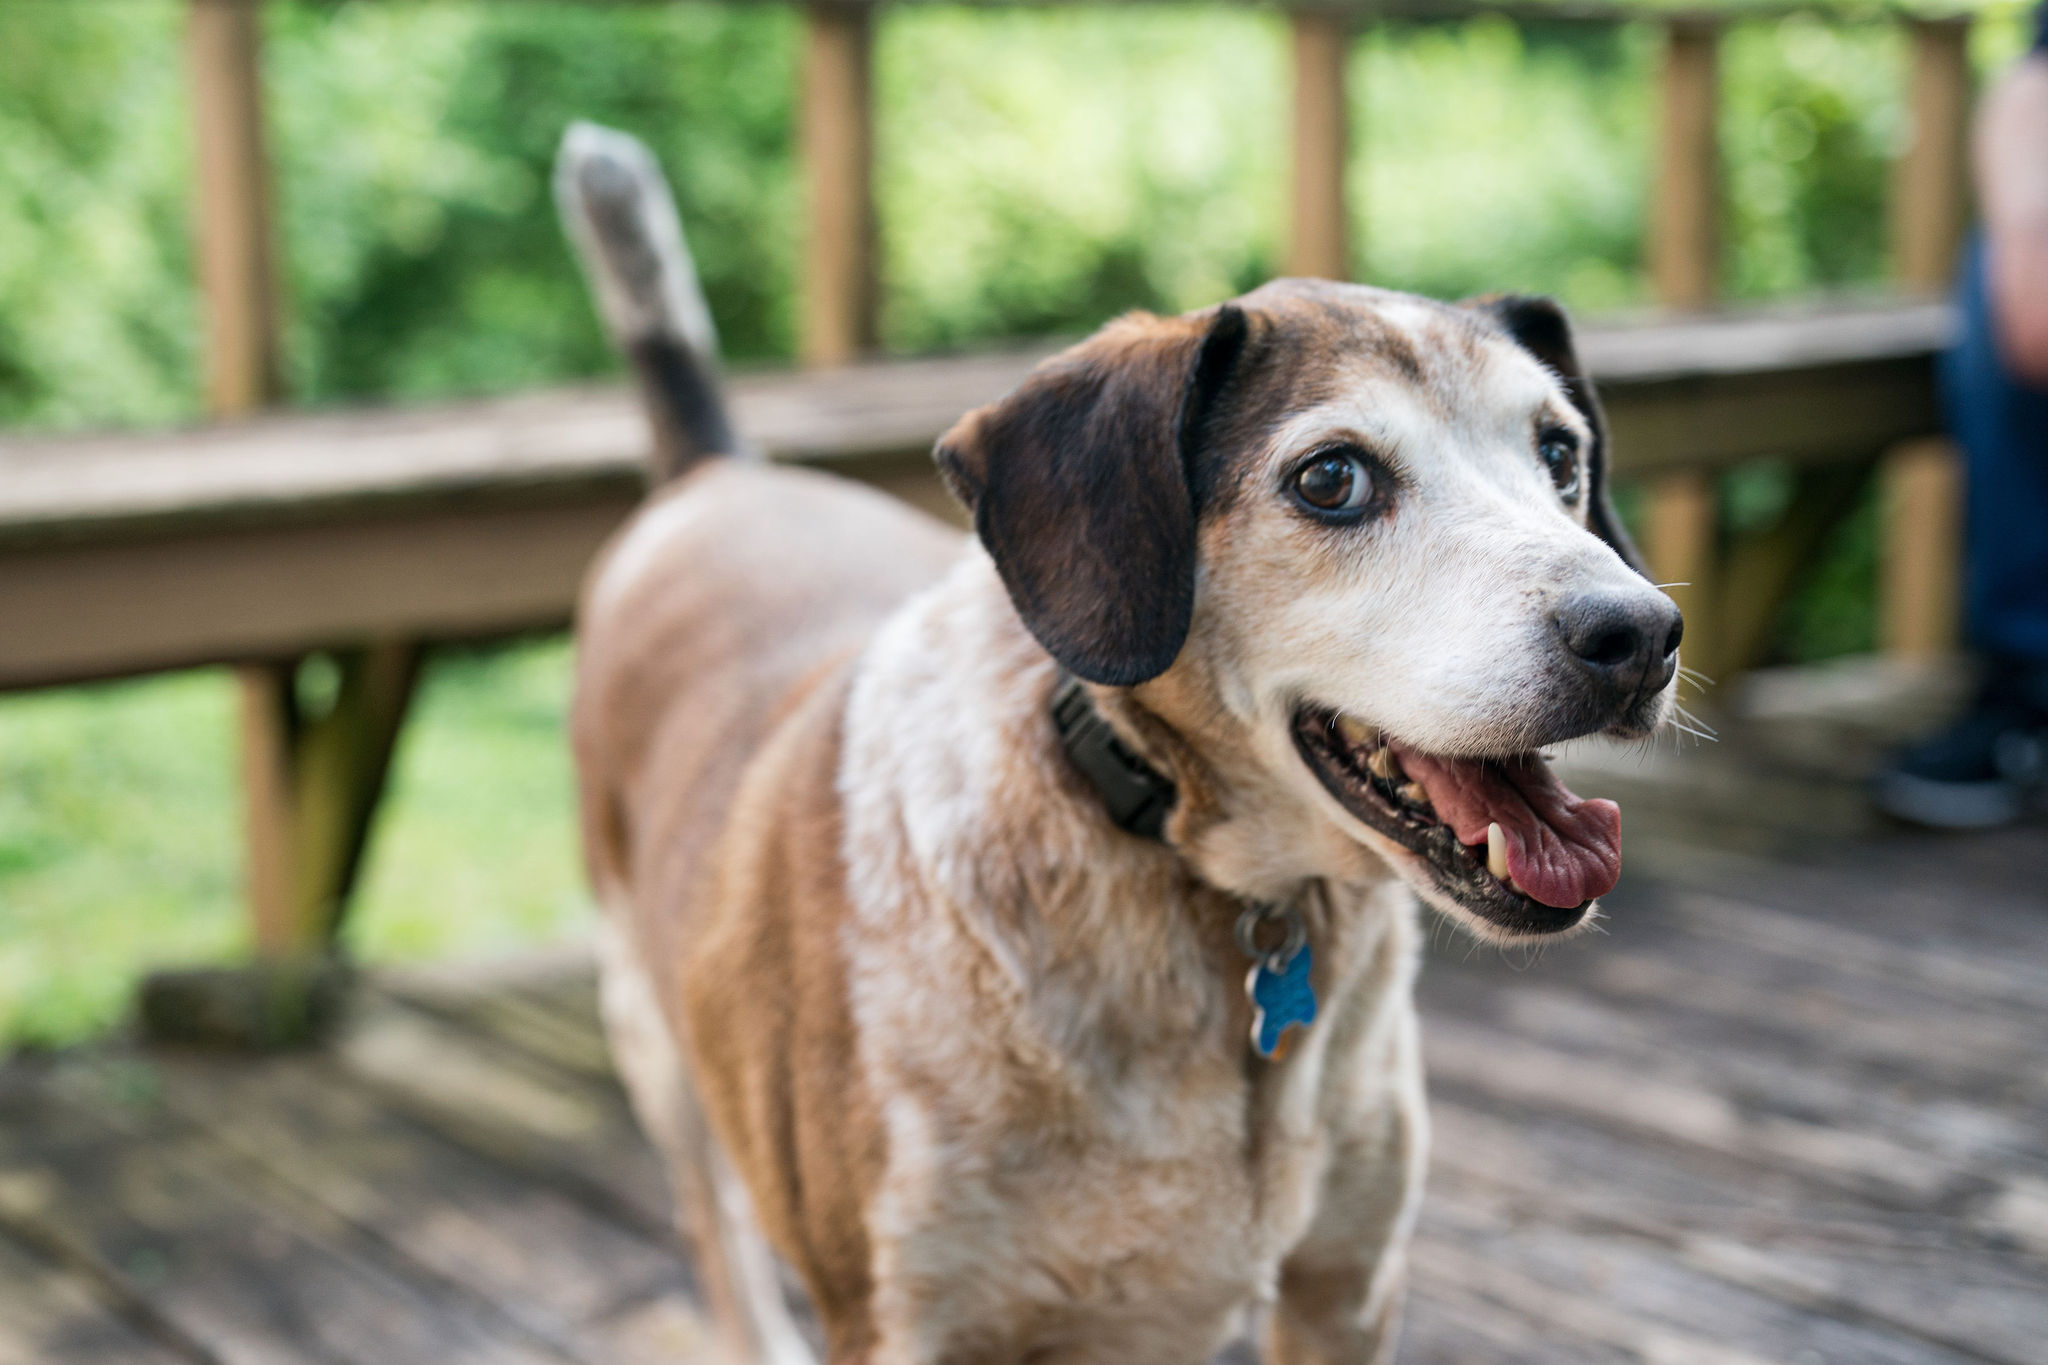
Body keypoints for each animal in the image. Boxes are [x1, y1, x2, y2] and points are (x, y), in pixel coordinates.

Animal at [557, 120, 1679, 1365]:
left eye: (1559, 455)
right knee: (711, 1226)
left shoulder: (1345, 1282)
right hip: (653, 1044)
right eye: (1331, 477)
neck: (1209, 896)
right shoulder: (904, 1323)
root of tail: (715, 472)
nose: (1639, 635)